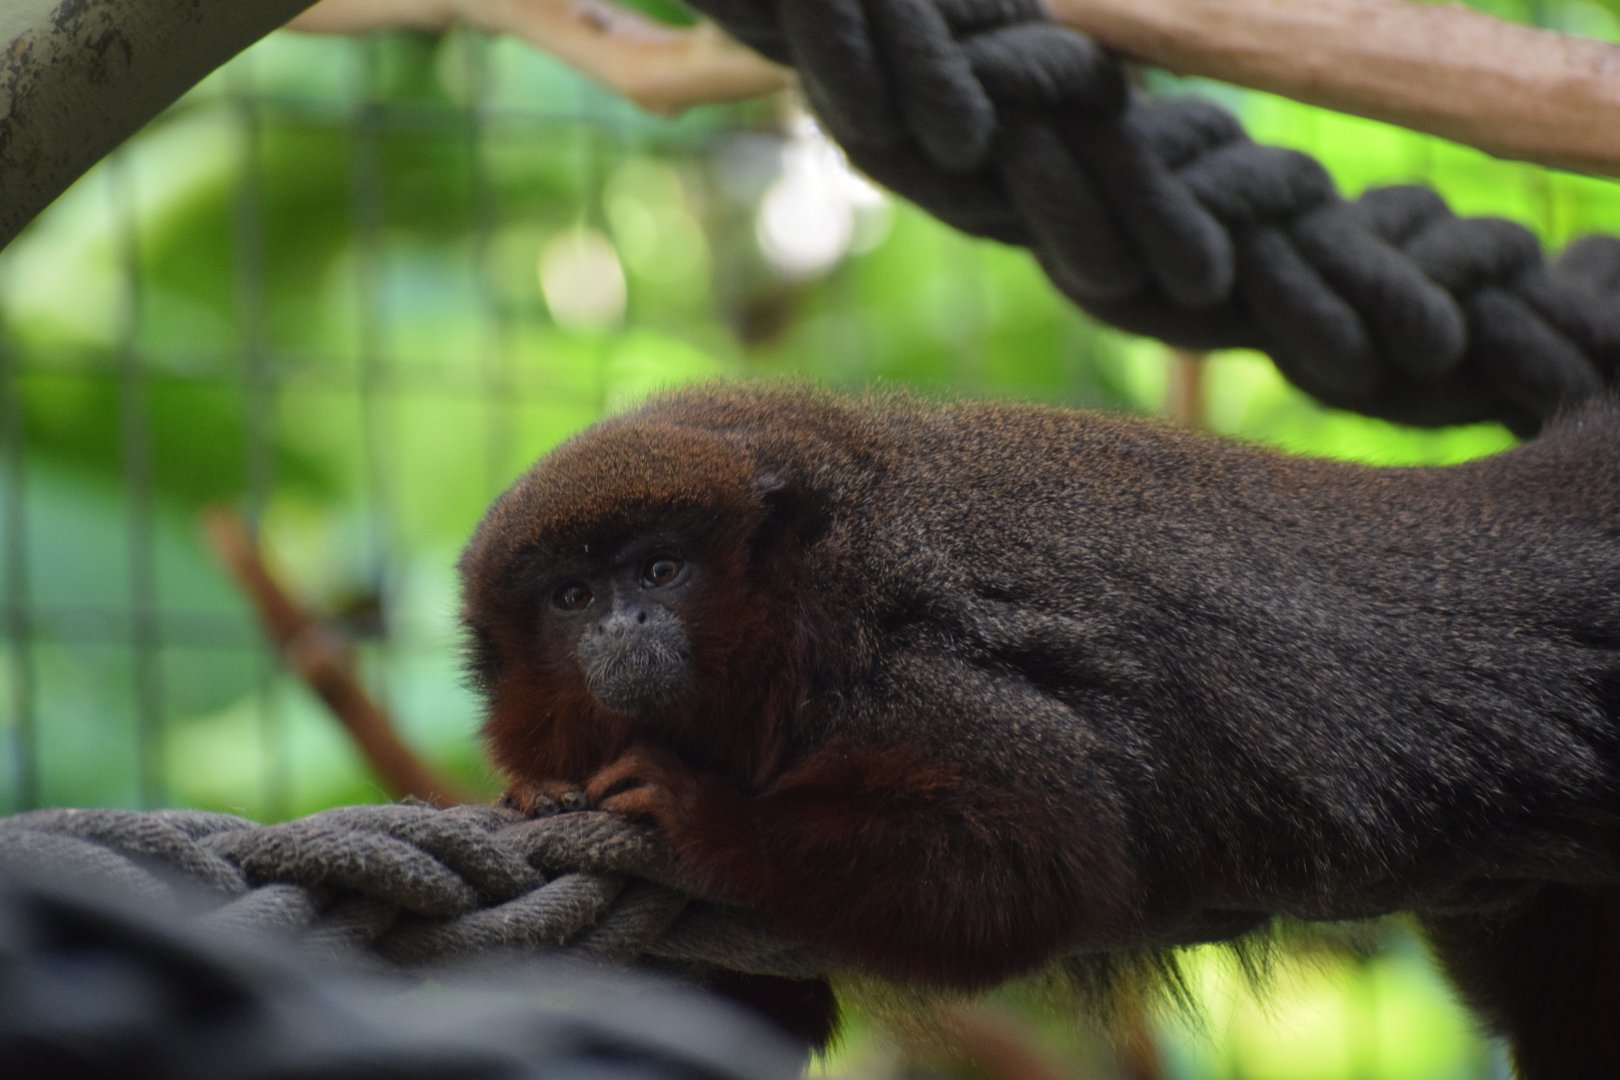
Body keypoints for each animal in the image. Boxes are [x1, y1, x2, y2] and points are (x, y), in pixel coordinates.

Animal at [458, 384, 1620, 1077]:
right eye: (571, 595)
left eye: (661, 569)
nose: (622, 623)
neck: (814, 593)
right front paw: (537, 798)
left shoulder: (908, 660)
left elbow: (1033, 859)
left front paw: (696, 810)